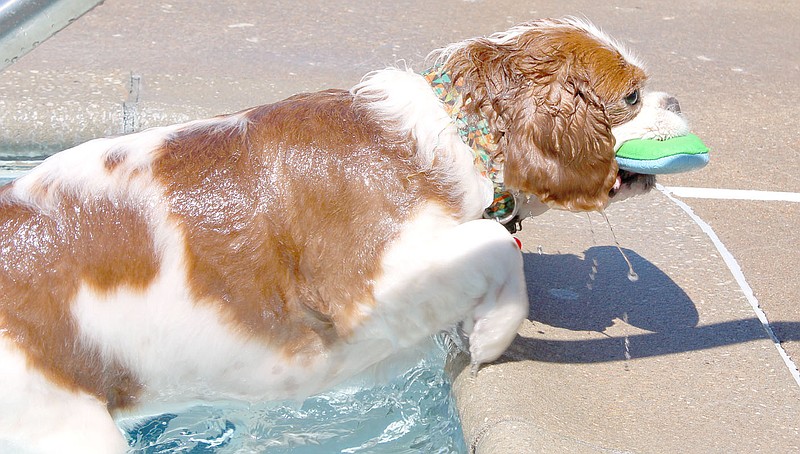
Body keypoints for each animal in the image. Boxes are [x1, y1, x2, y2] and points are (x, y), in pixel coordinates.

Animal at [0, 16, 688, 450]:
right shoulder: (363, 282)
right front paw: (492, 335)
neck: (449, 135)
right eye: (632, 96)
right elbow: (499, 249)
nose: (677, 100)